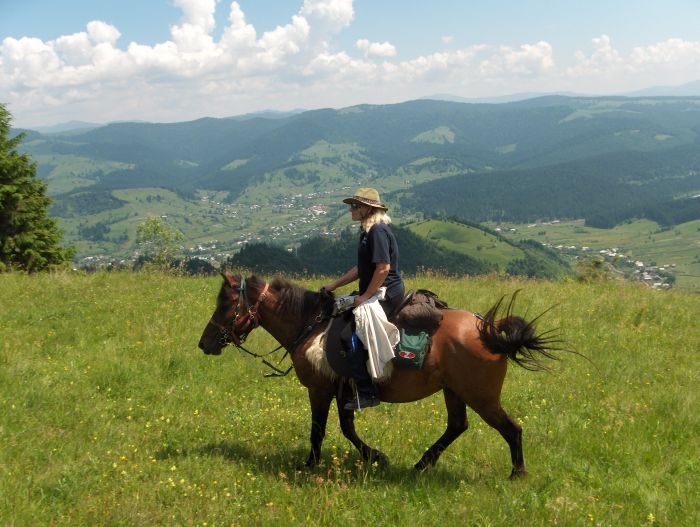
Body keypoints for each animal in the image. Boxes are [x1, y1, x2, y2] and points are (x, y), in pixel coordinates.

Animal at [200, 272, 560, 478]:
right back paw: (421, 465)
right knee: (457, 426)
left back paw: (517, 473)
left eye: (225, 304)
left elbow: (320, 431)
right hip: (454, 390)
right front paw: (375, 458)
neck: (311, 326)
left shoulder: (320, 389)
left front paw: (311, 465)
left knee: (510, 429)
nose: (204, 343)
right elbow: (346, 428)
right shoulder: (344, 391)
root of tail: (489, 328)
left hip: (480, 395)